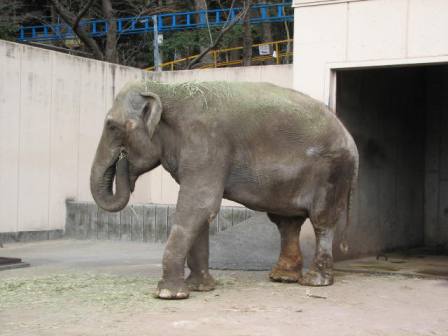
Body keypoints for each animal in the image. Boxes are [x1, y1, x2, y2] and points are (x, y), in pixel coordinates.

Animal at [89, 80, 358, 300]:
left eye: (112, 126)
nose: (122, 160)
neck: (167, 89)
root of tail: (348, 136)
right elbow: (200, 212)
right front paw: (200, 288)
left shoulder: (207, 142)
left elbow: (200, 205)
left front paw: (169, 294)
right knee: (287, 222)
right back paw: (282, 277)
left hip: (332, 173)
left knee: (321, 221)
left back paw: (314, 282)